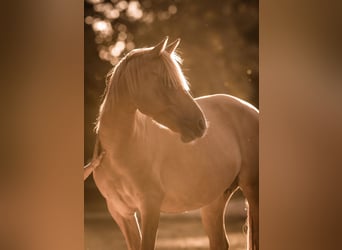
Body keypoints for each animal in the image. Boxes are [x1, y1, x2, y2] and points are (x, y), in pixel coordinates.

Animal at [92, 37, 258, 250]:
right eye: (166, 83)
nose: (201, 124)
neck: (119, 153)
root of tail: (252, 110)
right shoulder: (121, 213)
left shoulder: (150, 207)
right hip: (214, 201)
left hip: (252, 191)